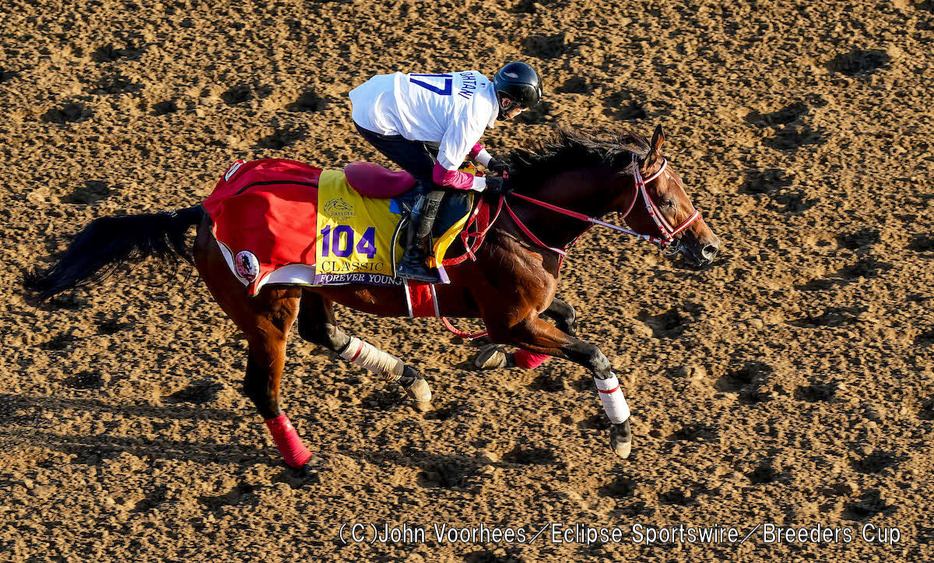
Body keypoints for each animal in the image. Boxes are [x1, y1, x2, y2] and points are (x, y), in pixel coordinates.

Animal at [23, 126, 724, 472]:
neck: (515, 218)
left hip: (307, 292)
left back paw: (413, 381)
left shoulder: (525, 311)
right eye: (667, 197)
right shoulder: (511, 315)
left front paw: (503, 360)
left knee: (325, 335)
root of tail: (206, 211)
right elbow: (593, 351)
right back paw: (303, 461)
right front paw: (623, 438)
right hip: (263, 311)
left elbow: (568, 317)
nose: (711, 248)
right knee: (263, 387)